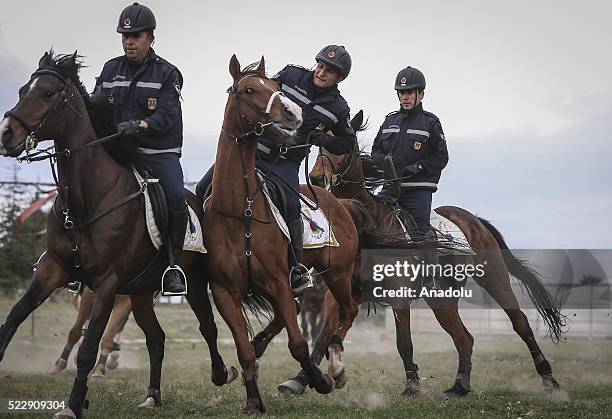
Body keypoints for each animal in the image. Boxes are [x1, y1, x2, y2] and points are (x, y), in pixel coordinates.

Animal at [0, 50, 235, 418]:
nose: (6, 134)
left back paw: (221, 373)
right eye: (24, 90)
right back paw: (152, 396)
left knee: (208, 327)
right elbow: (13, 320)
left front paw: (73, 405)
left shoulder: (106, 285)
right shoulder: (53, 270)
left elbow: (88, 348)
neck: (87, 202)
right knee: (156, 338)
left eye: (48, 93)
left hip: (194, 284)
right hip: (139, 293)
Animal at [280, 110, 568, 398]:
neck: (365, 223)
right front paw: (299, 380)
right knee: (464, 338)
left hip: (494, 280)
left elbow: (403, 342)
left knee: (520, 323)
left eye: (344, 144)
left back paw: (548, 378)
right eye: (317, 144)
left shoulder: (398, 296)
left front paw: (412, 385)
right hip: (441, 299)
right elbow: (322, 339)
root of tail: (475, 221)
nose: (317, 178)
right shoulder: (336, 296)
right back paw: (460, 385)